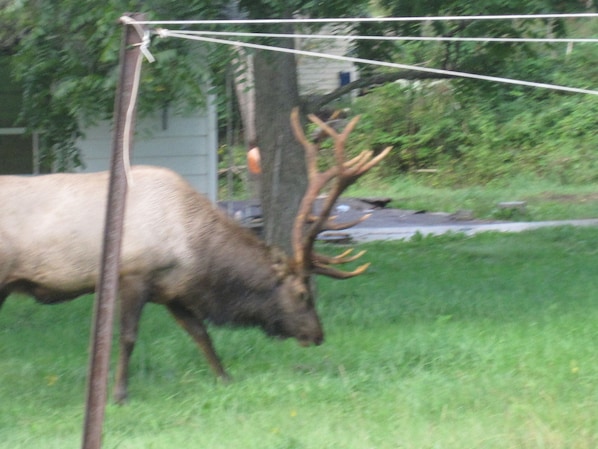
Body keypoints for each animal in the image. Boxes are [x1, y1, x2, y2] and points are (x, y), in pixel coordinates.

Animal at [0, 109, 392, 402]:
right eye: (302, 294)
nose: (318, 334)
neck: (194, 250)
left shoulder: (172, 289)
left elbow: (201, 332)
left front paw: (226, 378)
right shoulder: (133, 274)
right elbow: (128, 337)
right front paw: (119, 394)